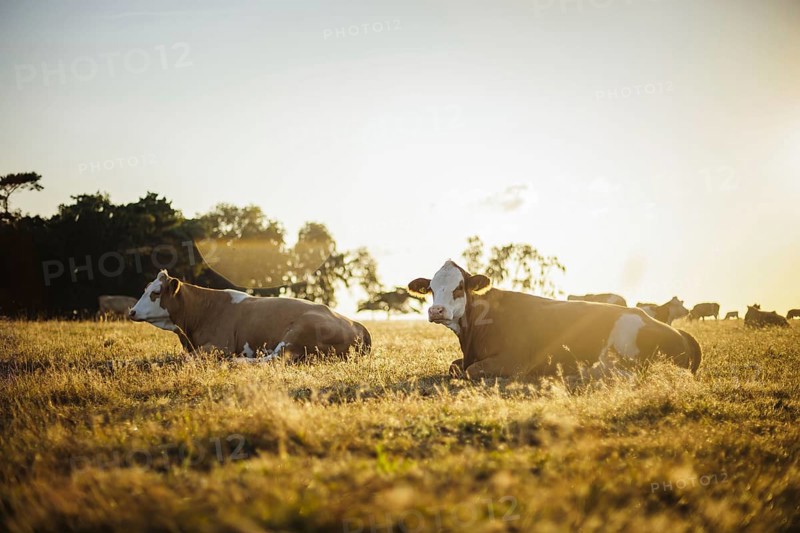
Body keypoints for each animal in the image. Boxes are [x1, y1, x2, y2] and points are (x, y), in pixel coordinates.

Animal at [129, 270, 371, 360]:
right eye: (145, 288)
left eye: (156, 293)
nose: (131, 311)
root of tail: (355, 323)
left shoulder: (220, 345)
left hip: (299, 330)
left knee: (276, 359)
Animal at [408, 261, 701, 380]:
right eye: (431, 288)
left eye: (459, 287)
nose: (437, 311)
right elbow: (455, 367)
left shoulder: (515, 361)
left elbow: (469, 371)